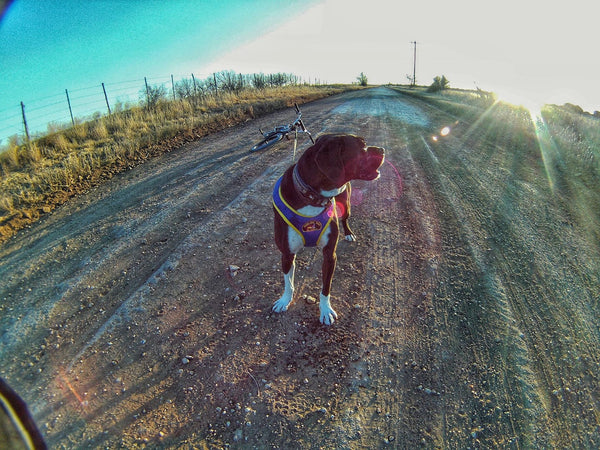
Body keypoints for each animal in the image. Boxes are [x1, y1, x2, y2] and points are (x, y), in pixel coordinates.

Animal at [272, 133, 384, 324]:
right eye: (362, 146)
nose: (382, 149)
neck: (311, 196)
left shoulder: (330, 255)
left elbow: (326, 287)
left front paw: (325, 310)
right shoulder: (287, 254)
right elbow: (288, 282)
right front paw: (285, 300)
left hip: (346, 203)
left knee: (345, 218)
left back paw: (349, 234)